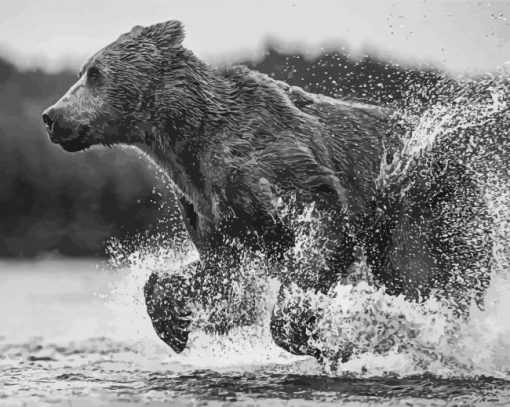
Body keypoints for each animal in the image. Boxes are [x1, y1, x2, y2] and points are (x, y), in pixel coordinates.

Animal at [41, 20, 492, 362]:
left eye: (94, 73)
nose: (51, 116)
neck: (186, 139)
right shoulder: (206, 203)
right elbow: (218, 275)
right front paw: (177, 324)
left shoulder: (270, 162)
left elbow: (321, 225)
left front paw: (321, 333)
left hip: (422, 208)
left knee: (421, 272)